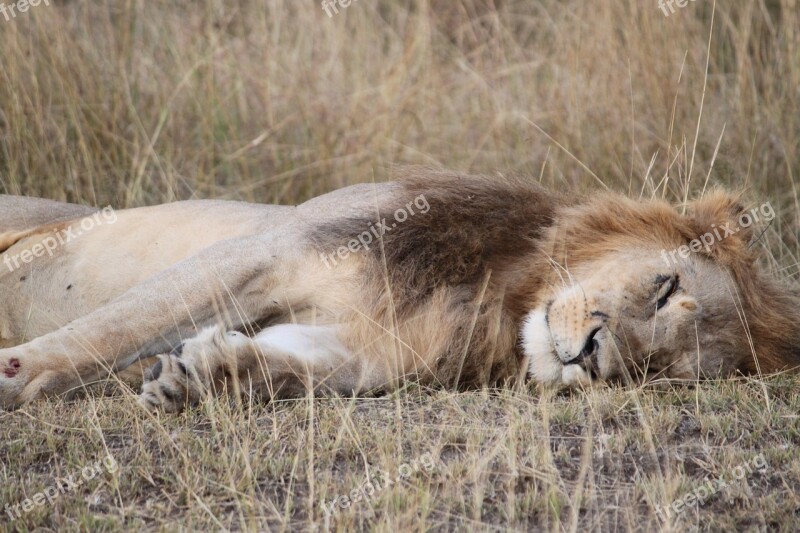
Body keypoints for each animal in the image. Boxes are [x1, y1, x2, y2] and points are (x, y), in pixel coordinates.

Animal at [0, 168, 796, 410]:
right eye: (664, 287)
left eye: (656, 370)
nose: (594, 355)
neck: (498, 296)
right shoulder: (274, 250)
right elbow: (116, 329)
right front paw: (18, 374)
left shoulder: (372, 348)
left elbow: (294, 365)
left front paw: (203, 375)